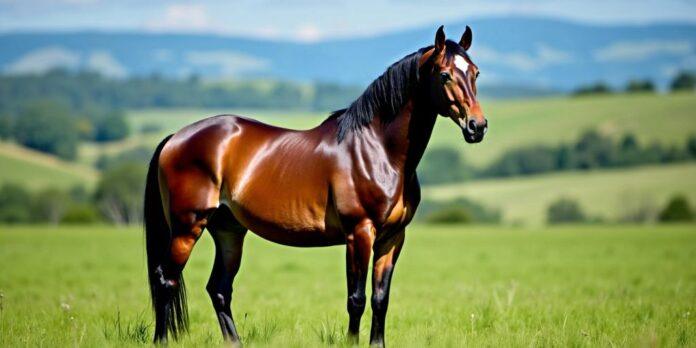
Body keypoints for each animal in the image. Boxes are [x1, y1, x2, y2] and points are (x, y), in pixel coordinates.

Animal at [144, 25, 486, 346]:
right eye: (444, 74)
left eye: (475, 72)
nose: (477, 126)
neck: (379, 151)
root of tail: (175, 137)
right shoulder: (359, 233)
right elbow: (356, 300)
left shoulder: (392, 238)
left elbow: (380, 299)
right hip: (188, 227)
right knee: (167, 282)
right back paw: (161, 340)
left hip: (228, 230)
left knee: (219, 289)